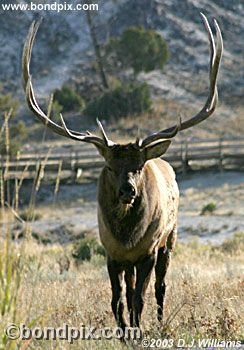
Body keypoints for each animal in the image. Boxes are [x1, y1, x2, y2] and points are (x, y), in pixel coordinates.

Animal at [22, 13, 223, 330]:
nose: (127, 190)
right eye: (109, 165)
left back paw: (161, 322)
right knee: (129, 291)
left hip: (171, 238)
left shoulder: (148, 251)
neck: (127, 237)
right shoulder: (111, 253)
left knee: (161, 287)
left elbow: (141, 297)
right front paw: (123, 331)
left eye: (138, 166)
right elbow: (117, 299)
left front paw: (138, 330)